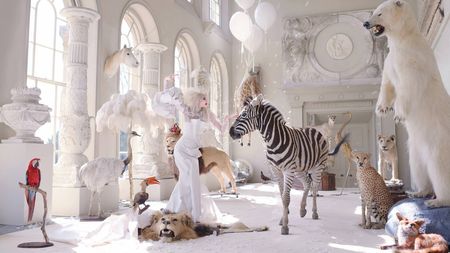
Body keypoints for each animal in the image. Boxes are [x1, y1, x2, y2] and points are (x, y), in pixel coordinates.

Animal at [229, 95, 348, 235]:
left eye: (244, 114)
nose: (230, 132)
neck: (273, 142)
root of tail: (314, 130)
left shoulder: (288, 170)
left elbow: (286, 198)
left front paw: (285, 226)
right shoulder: (276, 170)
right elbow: (282, 196)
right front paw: (283, 219)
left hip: (317, 167)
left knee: (314, 188)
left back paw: (314, 213)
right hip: (300, 169)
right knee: (307, 183)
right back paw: (302, 210)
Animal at [364, 0, 450, 208]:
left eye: (379, 13)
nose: (366, 23)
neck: (403, 40)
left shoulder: (413, 58)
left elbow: (409, 84)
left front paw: (399, 114)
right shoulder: (391, 60)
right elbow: (387, 84)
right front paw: (382, 109)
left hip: (438, 142)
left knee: (440, 169)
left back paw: (437, 201)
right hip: (416, 148)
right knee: (419, 168)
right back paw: (419, 192)